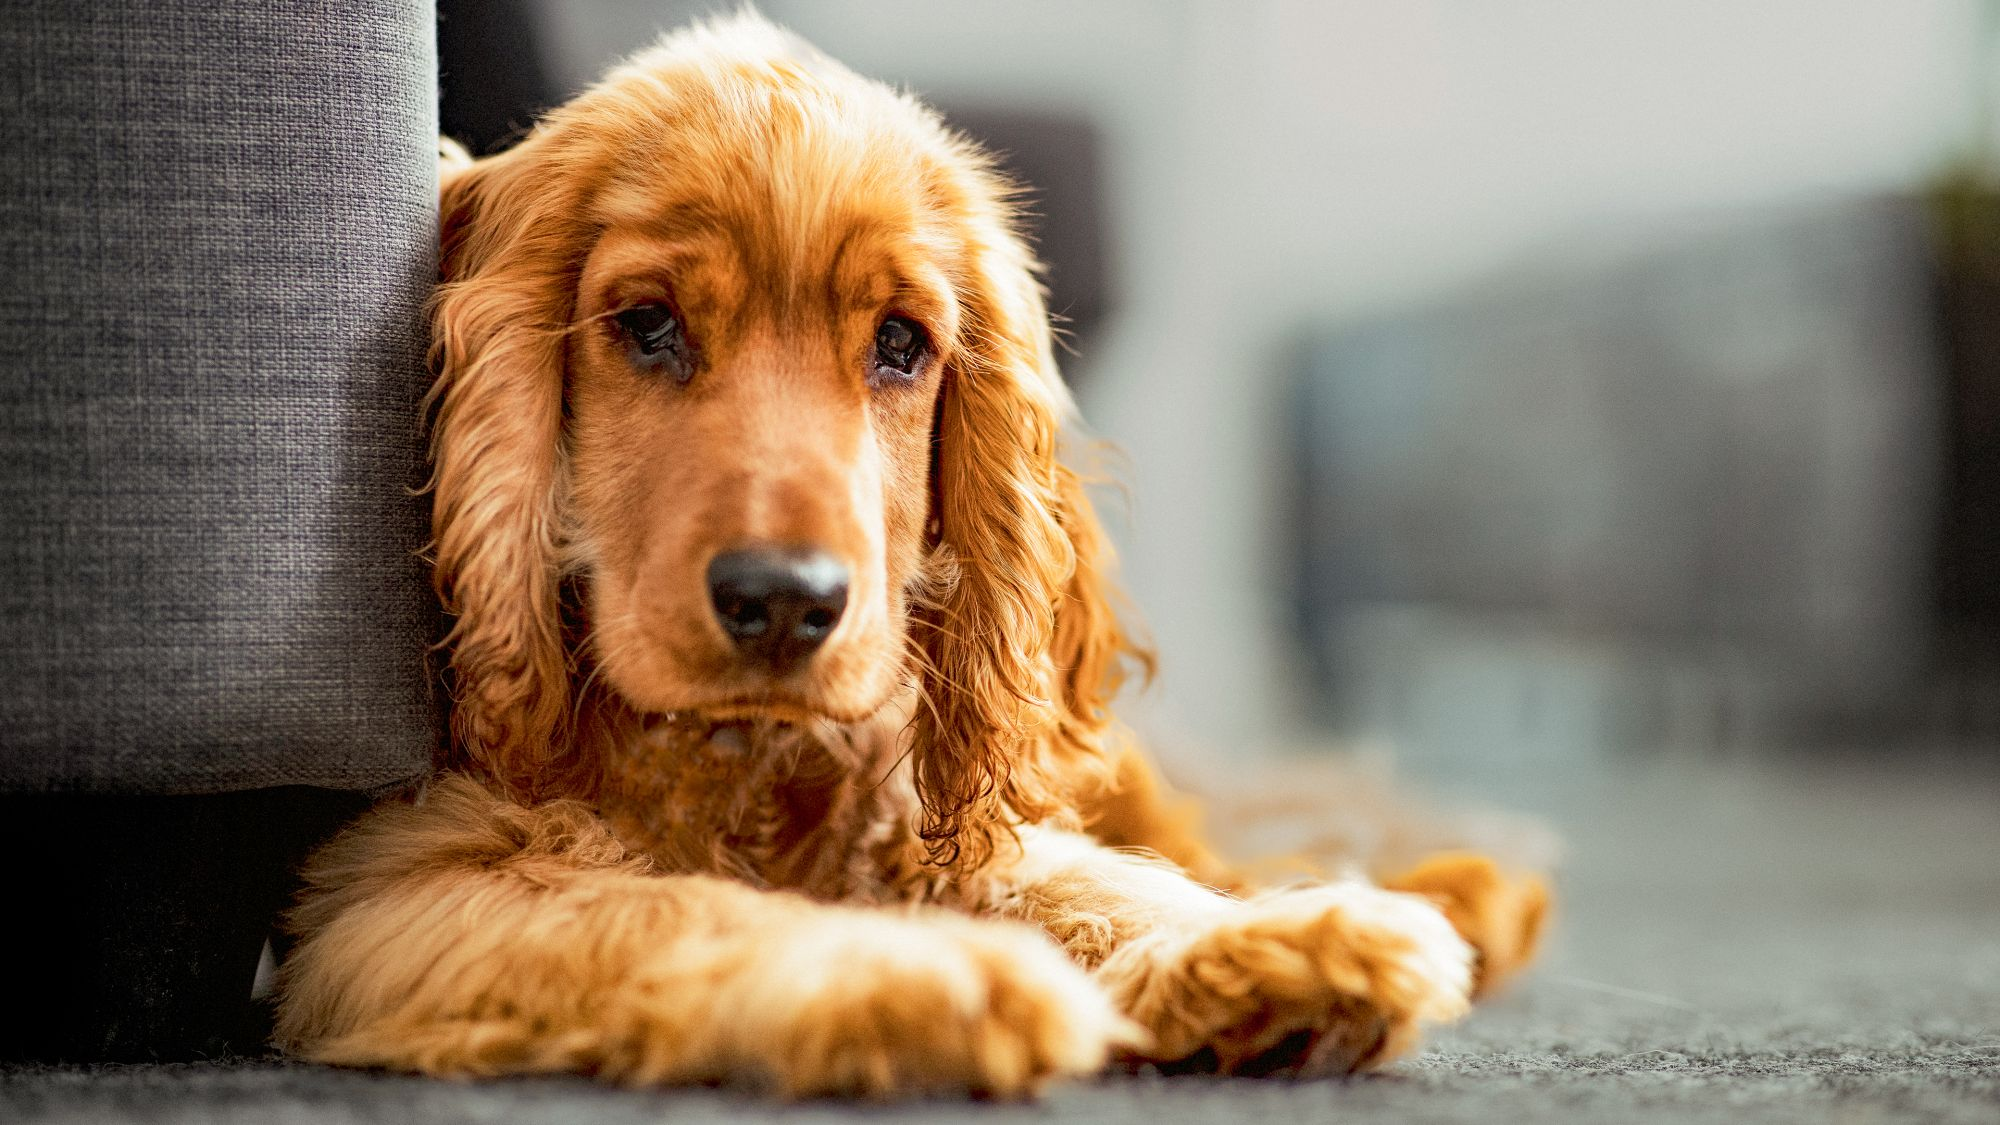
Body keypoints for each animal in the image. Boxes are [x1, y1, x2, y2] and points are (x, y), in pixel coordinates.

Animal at [270, 13, 1544, 1088]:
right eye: (646, 326)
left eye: (897, 344)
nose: (786, 603)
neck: (741, 760)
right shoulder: (388, 891)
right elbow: (670, 909)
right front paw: (923, 973)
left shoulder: (922, 802)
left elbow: (1076, 876)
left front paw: (1265, 944)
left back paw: (1457, 892)